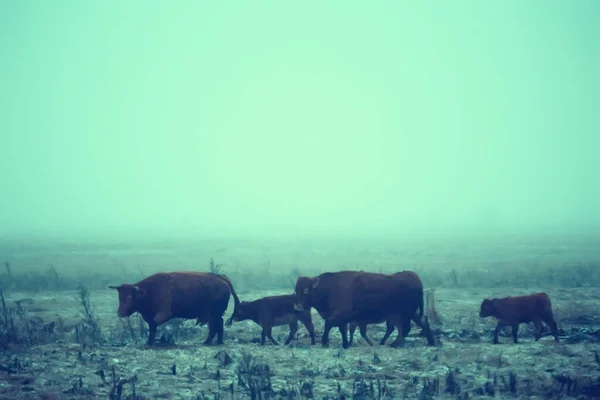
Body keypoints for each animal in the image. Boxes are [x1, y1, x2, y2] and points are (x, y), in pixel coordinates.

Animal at [109, 272, 240, 346]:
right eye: (119, 297)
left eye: (130, 297)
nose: (120, 313)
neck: (148, 290)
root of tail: (221, 278)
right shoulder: (150, 316)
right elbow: (152, 328)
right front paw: (149, 343)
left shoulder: (164, 313)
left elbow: (154, 325)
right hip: (212, 314)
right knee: (215, 325)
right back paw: (211, 342)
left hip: (215, 313)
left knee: (218, 324)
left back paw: (214, 342)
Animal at [294, 270, 432, 348]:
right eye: (296, 290)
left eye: (306, 290)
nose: (297, 306)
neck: (329, 288)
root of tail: (414, 278)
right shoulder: (343, 319)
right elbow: (343, 330)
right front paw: (345, 344)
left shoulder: (341, 315)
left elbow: (329, 324)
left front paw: (324, 342)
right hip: (410, 314)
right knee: (420, 323)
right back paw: (432, 342)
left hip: (404, 314)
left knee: (405, 329)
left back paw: (393, 344)